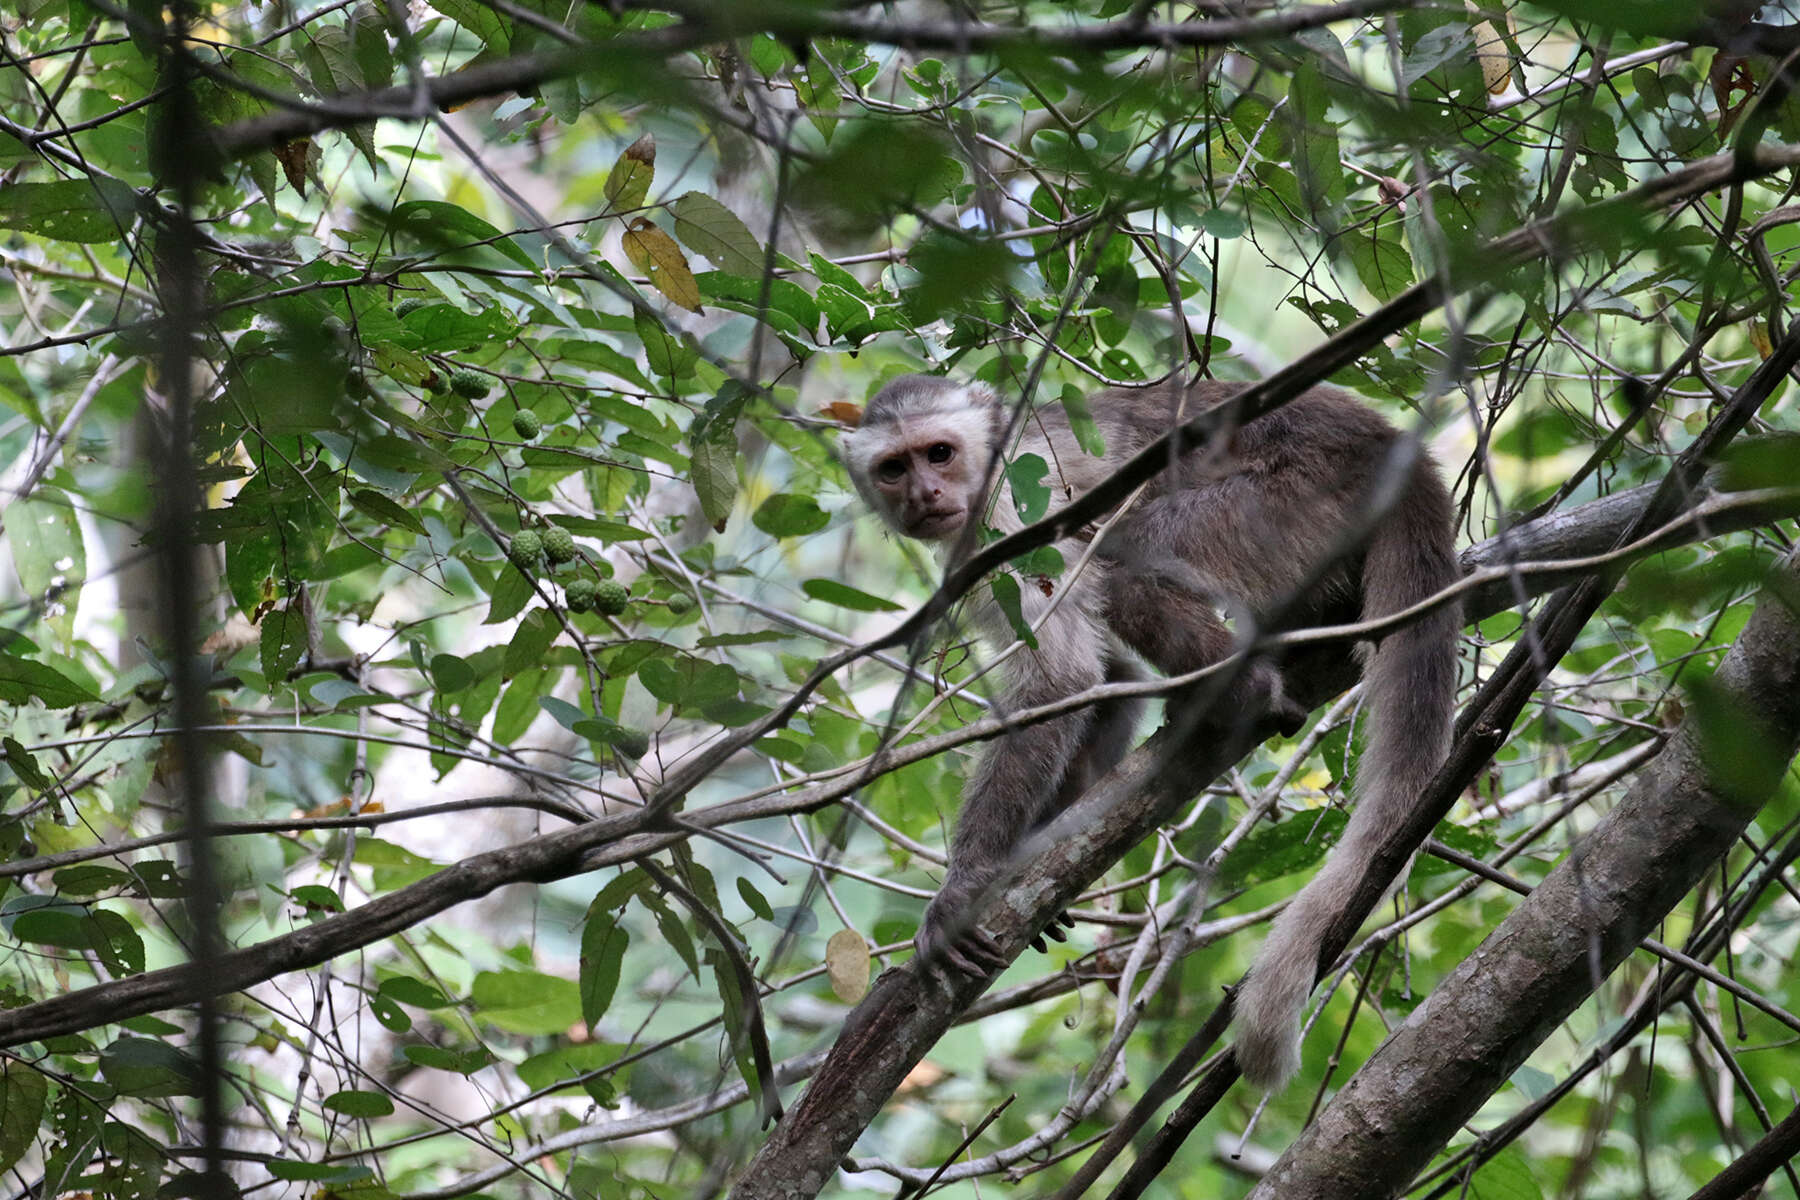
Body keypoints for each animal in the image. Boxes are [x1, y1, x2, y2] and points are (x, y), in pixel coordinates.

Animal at [846, 372, 1461, 1086]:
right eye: (894, 469)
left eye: (939, 454)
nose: (924, 494)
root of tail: (1389, 442)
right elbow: (1107, 679)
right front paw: (1041, 846)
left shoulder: (1013, 508)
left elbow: (1063, 678)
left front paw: (964, 886)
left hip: (1297, 496)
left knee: (1131, 560)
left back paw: (1246, 690)